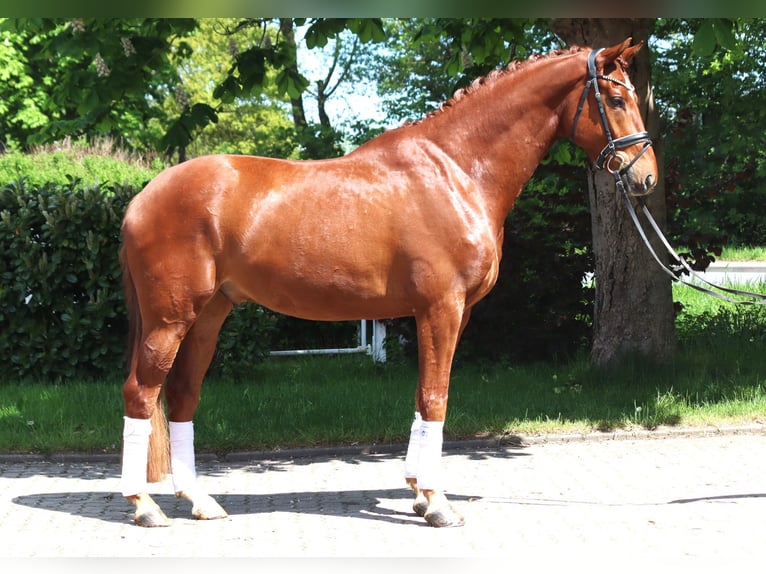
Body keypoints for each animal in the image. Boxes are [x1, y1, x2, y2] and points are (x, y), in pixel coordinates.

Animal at [118, 37, 658, 528]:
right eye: (616, 100)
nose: (646, 178)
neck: (457, 169)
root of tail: (142, 198)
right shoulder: (441, 307)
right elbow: (436, 397)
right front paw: (438, 504)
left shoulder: (446, 313)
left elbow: (422, 397)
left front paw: (418, 493)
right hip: (170, 320)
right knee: (141, 394)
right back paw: (145, 507)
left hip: (209, 315)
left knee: (182, 395)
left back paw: (199, 501)